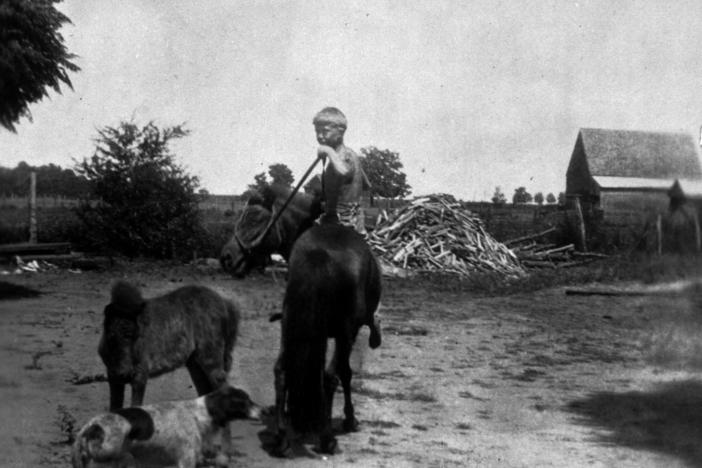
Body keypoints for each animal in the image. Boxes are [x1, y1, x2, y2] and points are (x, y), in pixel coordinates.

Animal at [73, 384, 262, 468]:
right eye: (245, 402)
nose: (266, 410)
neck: (198, 414)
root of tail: (91, 426)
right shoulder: (186, 460)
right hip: (110, 456)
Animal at [99, 282, 241, 410]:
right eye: (111, 335)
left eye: (137, 336)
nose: (124, 373)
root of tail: (224, 302)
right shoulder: (113, 378)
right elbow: (114, 408)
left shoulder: (140, 376)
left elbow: (135, 406)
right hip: (195, 365)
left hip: (210, 358)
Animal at [276, 223, 384, 458]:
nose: (376, 339)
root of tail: (319, 256)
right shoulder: (349, 332)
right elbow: (344, 373)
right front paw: (350, 420)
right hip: (344, 331)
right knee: (329, 376)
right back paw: (327, 439)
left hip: (290, 325)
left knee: (283, 371)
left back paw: (282, 438)